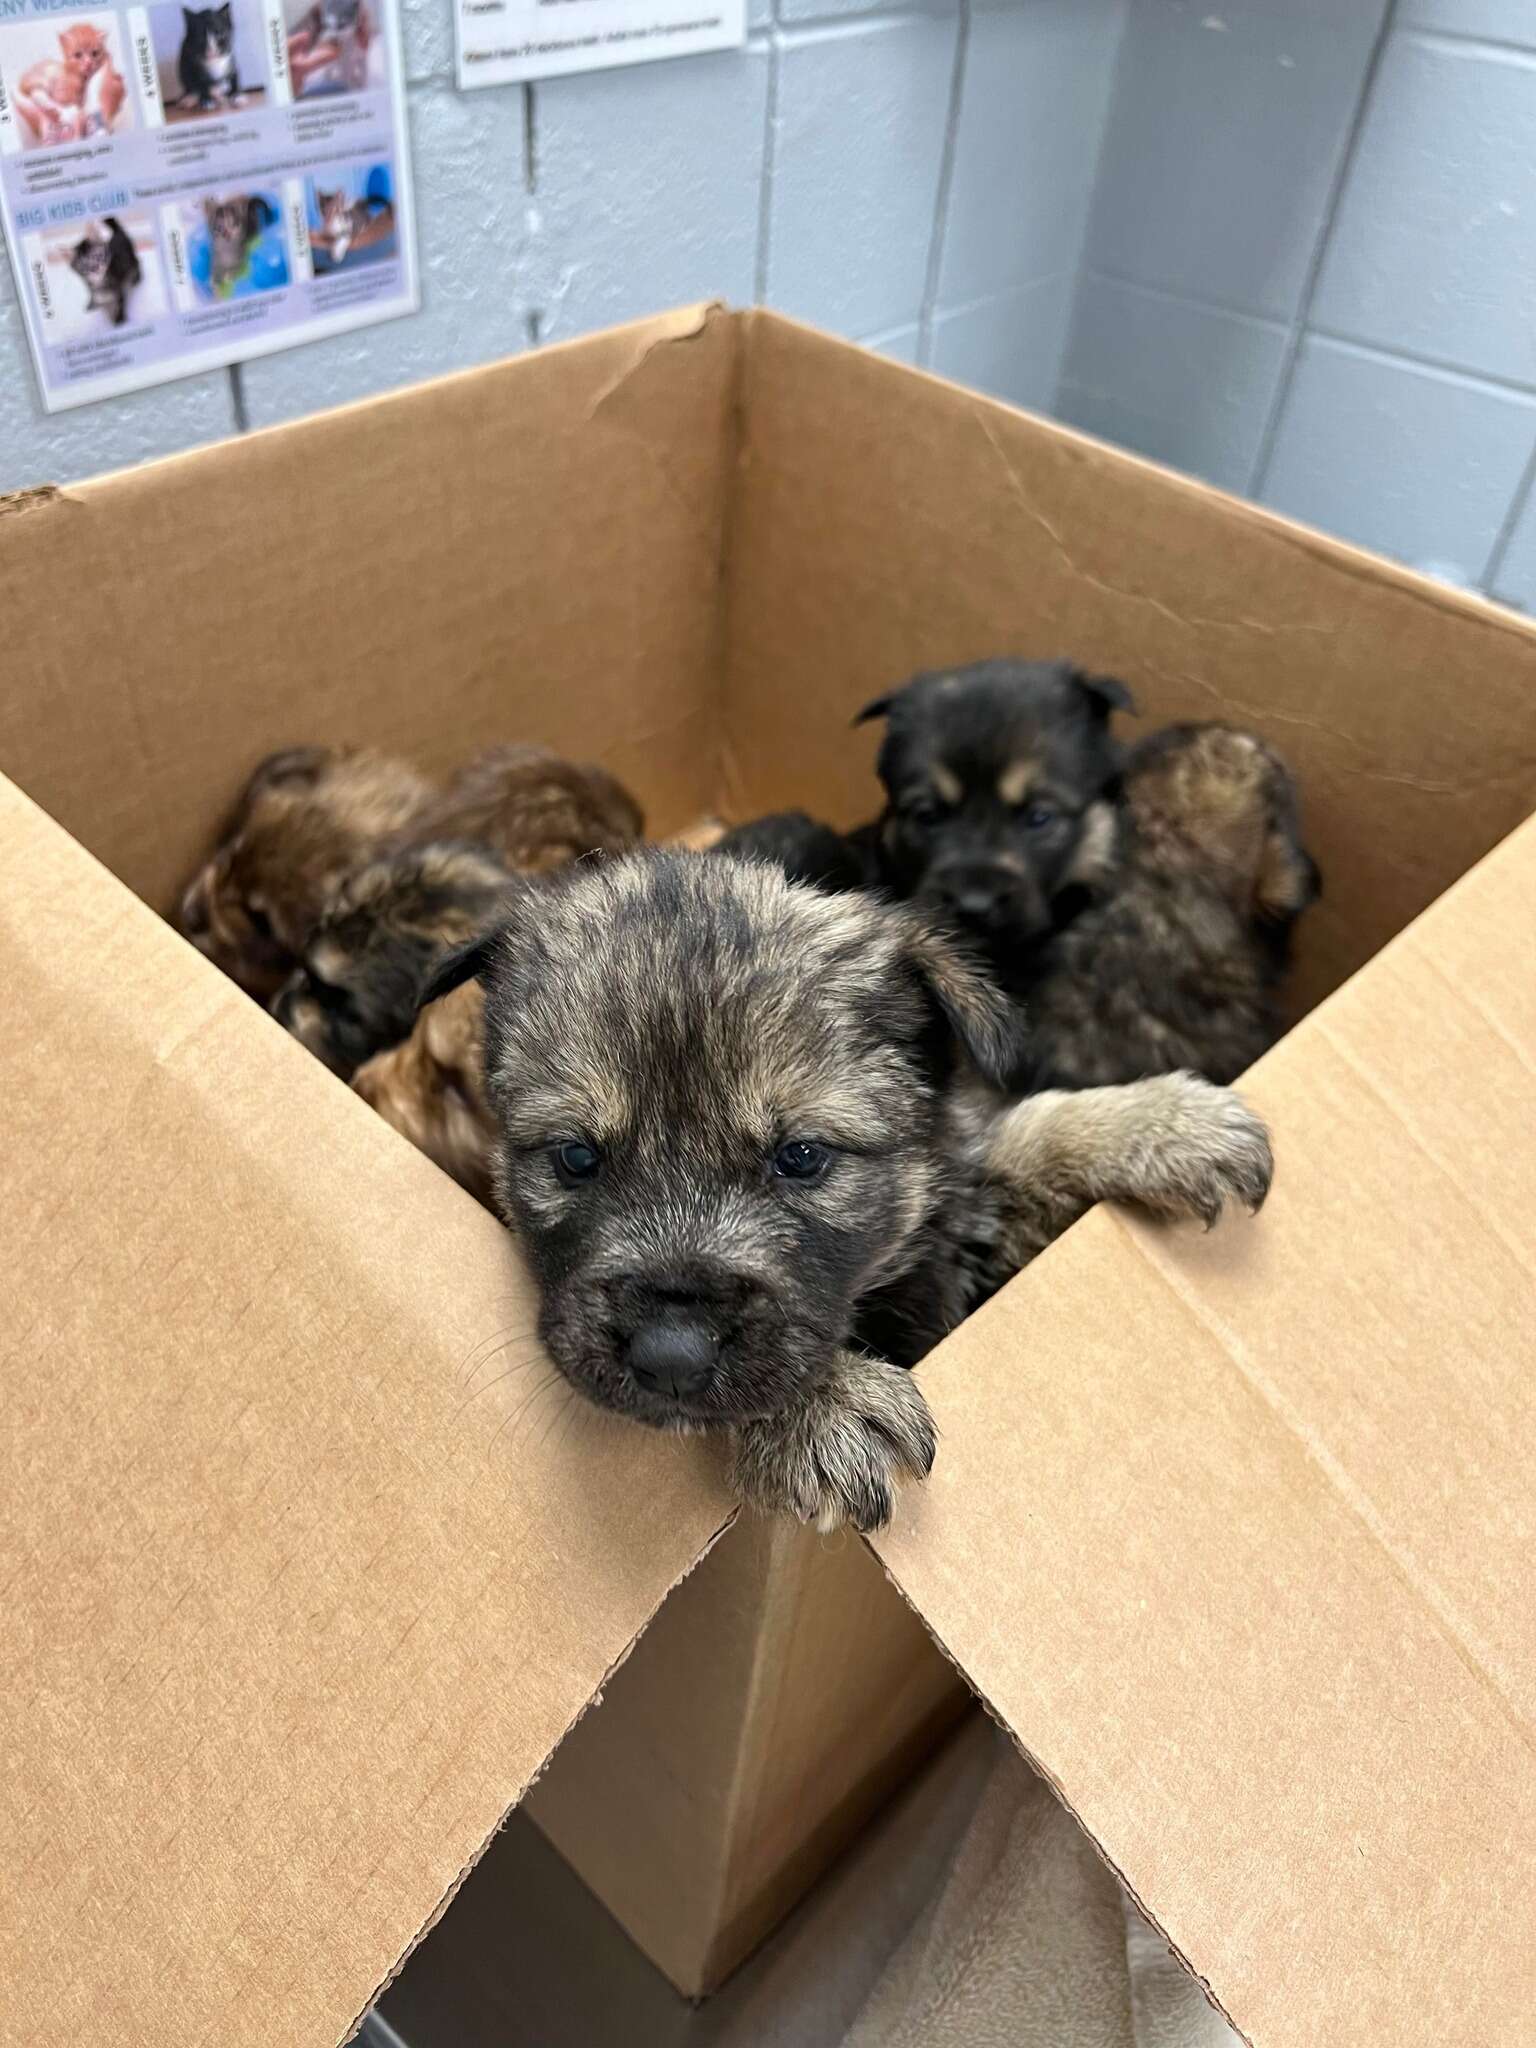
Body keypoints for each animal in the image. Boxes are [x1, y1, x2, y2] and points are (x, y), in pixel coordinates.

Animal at [421, 839, 1277, 1531]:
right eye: (573, 1157)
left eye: (801, 1157)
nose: (671, 1355)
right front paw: (823, 1408)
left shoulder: (953, 1210)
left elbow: (1016, 1142)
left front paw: (1161, 1126)